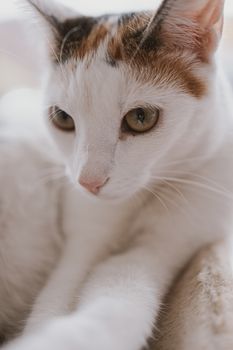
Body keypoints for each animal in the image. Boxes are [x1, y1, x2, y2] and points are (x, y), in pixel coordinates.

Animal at [0, 0, 233, 348]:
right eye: (62, 118)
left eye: (141, 117)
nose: (88, 182)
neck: (137, 201)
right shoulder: (82, 242)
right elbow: (55, 299)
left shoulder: (161, 245)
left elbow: (120, 302)